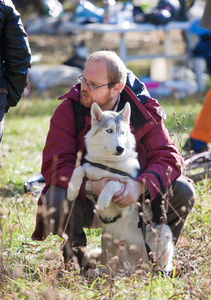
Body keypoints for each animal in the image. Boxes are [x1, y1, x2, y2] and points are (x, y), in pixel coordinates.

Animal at [67, 102, 173, 274]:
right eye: (109, 130)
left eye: (122, 132)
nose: (120, 148)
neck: (108, 165)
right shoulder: (90, 174)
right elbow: (79, 169)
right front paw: (72, 189)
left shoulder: (126, 198)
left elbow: (113, 182)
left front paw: (103, 199)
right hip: (106, 241)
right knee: (110, 268)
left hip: (163, 233)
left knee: (155, 266)